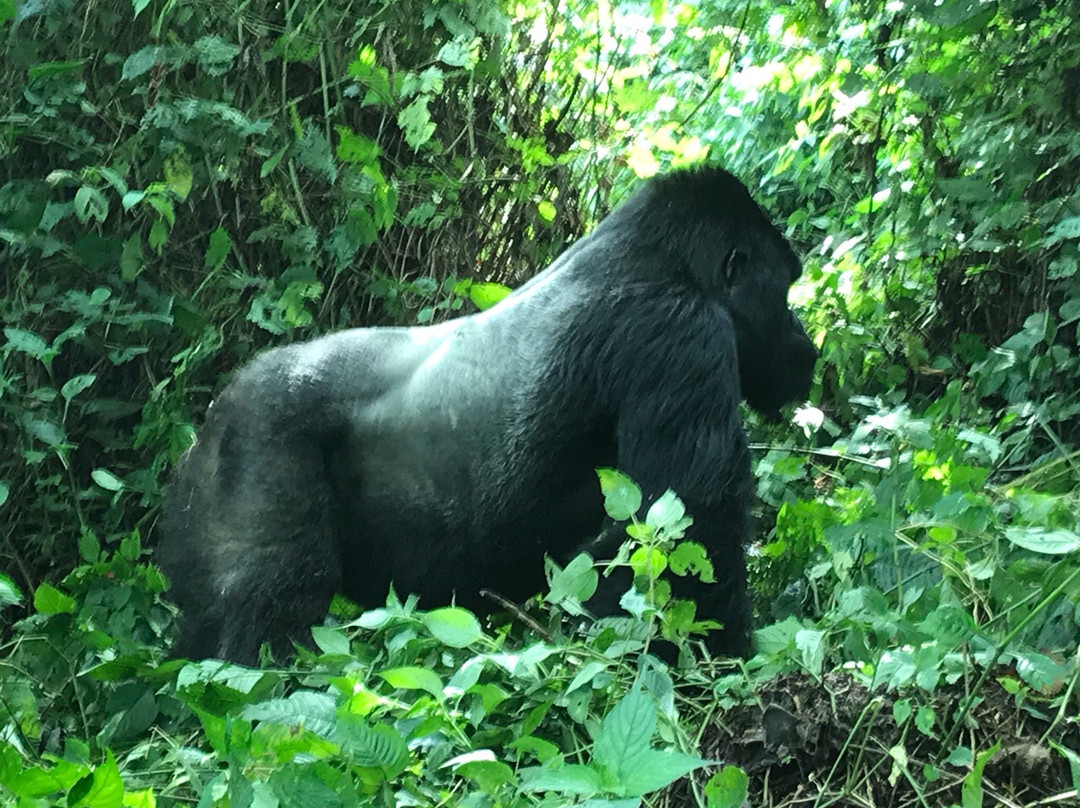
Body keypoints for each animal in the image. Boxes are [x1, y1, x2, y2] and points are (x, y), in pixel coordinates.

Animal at [157, 164, 816, 661]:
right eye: (783, 292)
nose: (805, 349)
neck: (667, 262)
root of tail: (210, 421)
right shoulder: (683, 335)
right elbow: (689, 517)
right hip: (262, 435)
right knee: (273, 612)